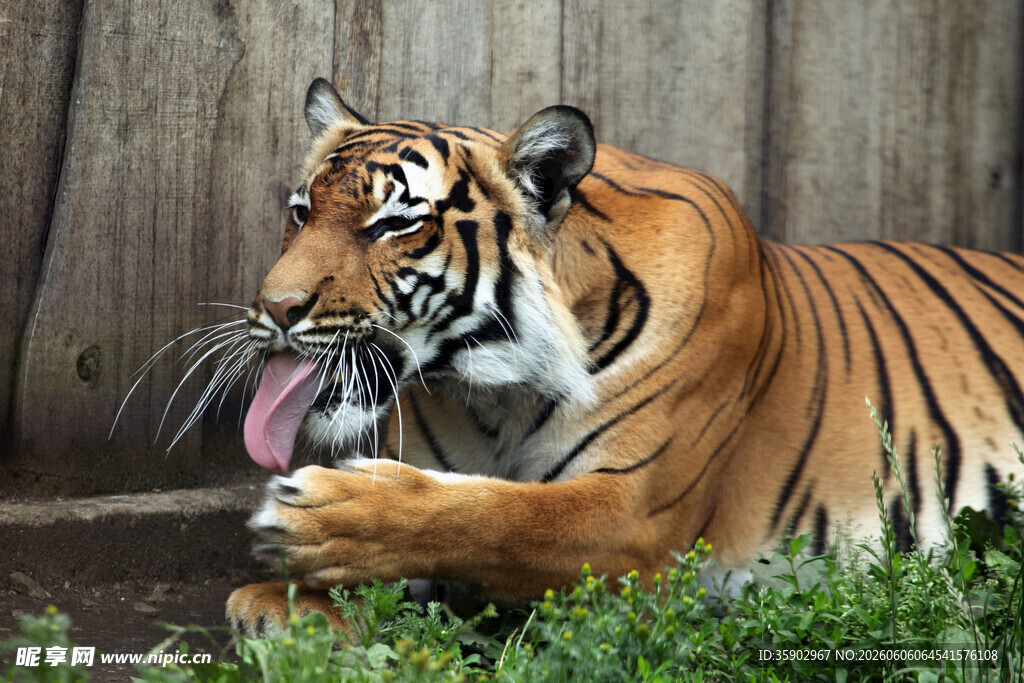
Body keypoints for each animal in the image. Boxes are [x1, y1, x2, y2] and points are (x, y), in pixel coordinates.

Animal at [225, 77, 1024, 636]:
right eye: (301, 212)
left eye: (394, 224)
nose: (275, 307)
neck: (494, 392)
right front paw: (284, 605)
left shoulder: (634, 517)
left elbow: (497, 517)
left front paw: (317, 519)